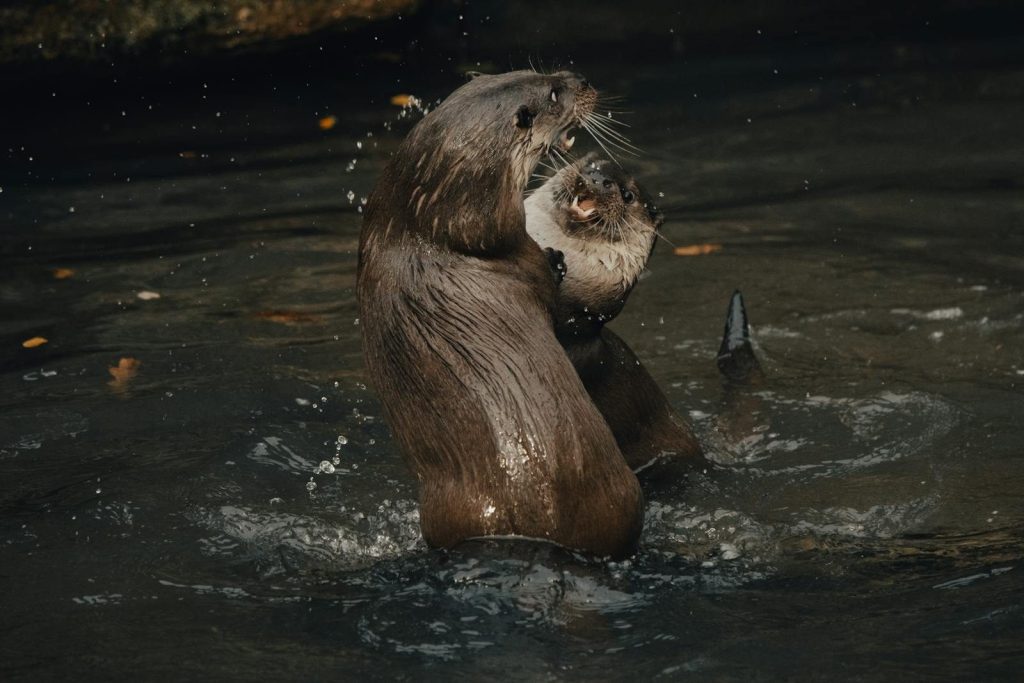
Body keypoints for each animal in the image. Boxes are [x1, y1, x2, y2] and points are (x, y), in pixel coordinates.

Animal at [357, 71, 643, 558]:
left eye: (541, 73)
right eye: (554, 95)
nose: (580, 80)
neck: (429, 228)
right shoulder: (522, 257)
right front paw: (558, 262)